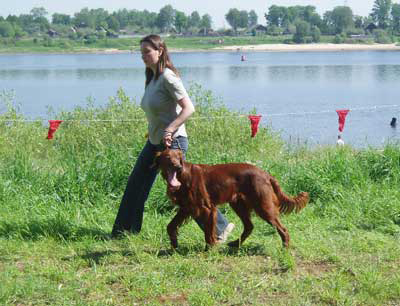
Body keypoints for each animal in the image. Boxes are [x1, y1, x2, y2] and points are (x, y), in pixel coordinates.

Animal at [156, 149, 310, 250]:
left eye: (178, 157)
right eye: (168, 157)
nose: (177, 166)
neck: (183, 176)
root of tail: (265, 174)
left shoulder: (207, 208)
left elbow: (208, 232)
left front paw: (209, 249)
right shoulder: (186, 207)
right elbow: (170, 226)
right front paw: (174, 245)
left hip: (263, 206)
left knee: (283, 229)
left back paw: (285, 248)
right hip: (238, 204)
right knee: (249, 226)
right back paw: (236, 244)